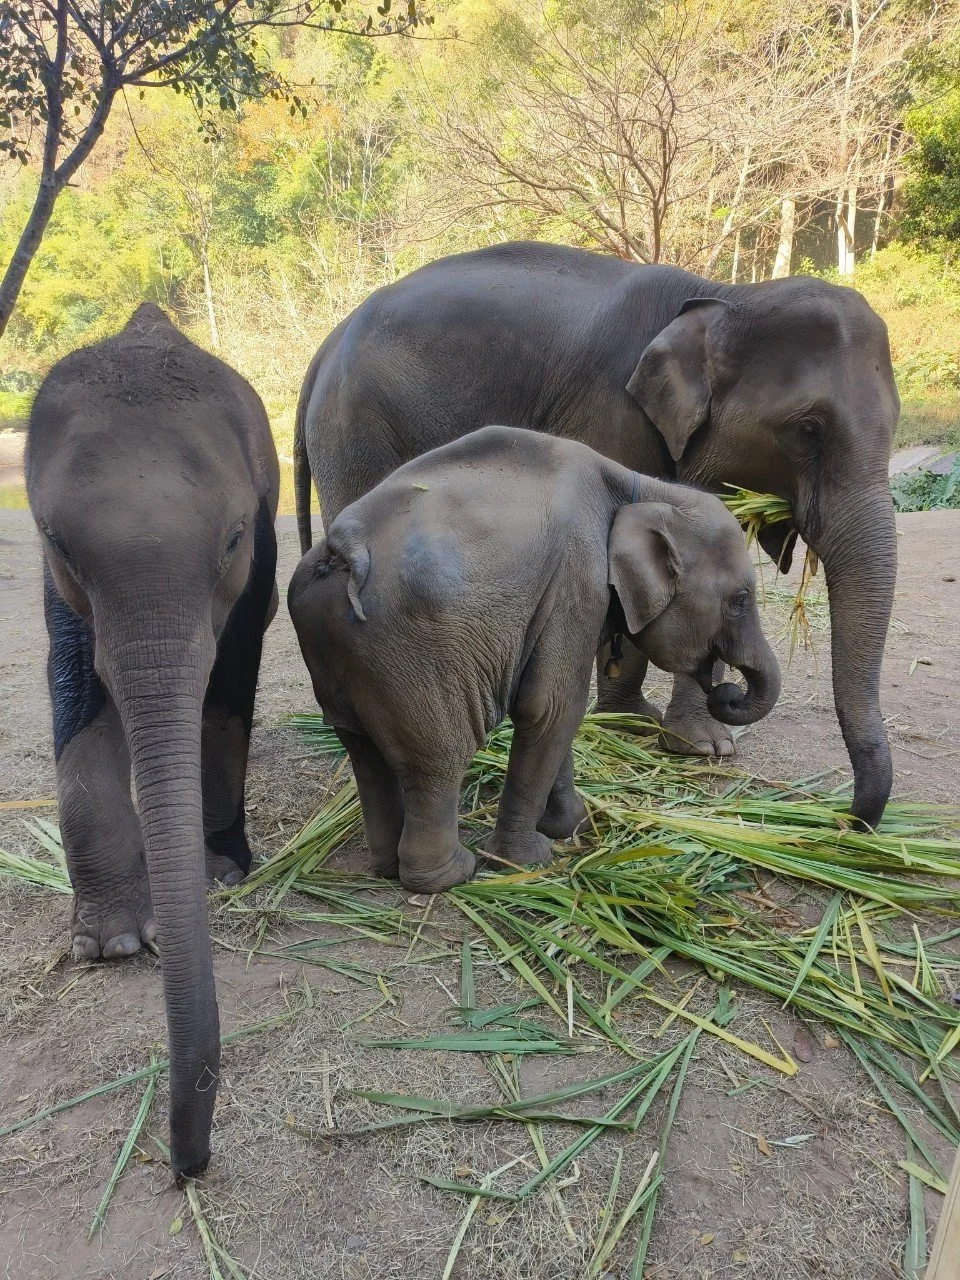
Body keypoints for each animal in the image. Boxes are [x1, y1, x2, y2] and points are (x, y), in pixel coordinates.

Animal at [25, 303, 279, 1181]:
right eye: (61, 544)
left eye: (233, 538)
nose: (187, 1164)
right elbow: (74, 679)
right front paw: (110, 946)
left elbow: (231, 673)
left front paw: (218, 872)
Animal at [288, 425, 780, 892]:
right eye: (740, 600)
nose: (727, 691)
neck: (640, 489)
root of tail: (342, 546)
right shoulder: (576, 577)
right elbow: (552, 707)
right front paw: (528, 860)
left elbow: (555, 715)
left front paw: (574, 825)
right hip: (413, 659)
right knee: (438, 759)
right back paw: (452, 875)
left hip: (339, 649)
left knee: (363, 751)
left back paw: (387, 868)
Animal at [293, 242, 900, 828]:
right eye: (807, 428)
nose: (849, 819)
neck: (727, 296)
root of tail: (322, 349)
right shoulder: (613, 413)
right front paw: (645, 729)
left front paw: (697, 745)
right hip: (354, 432)